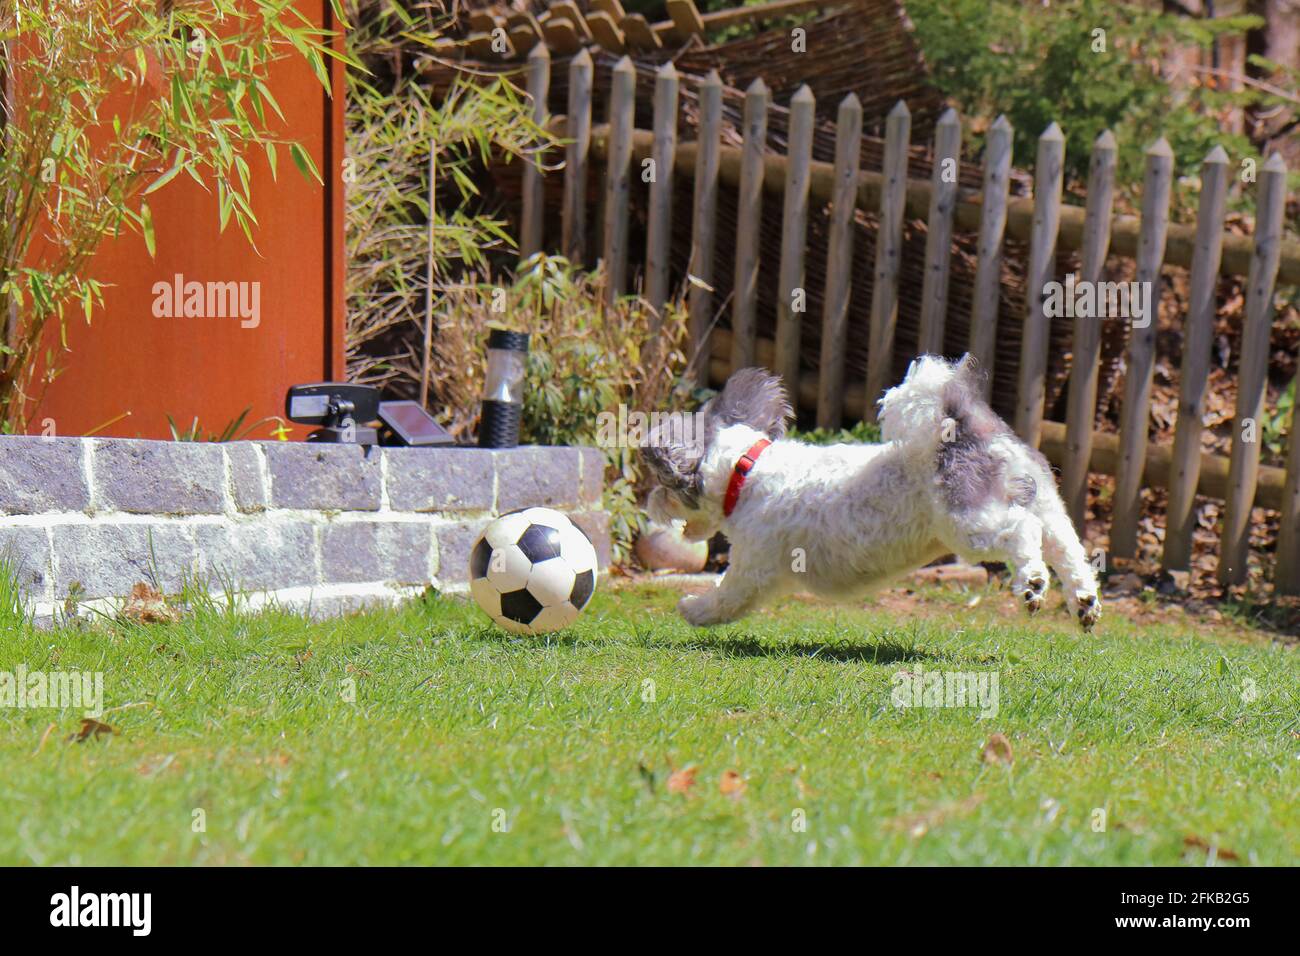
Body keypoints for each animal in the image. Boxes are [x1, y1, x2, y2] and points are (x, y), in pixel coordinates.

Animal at [639, 356, 1097, 632]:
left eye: (663, 484)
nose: (648, 505)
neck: (745, 470)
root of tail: (966, 428)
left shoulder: (754, 566)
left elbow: (727, 596)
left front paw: (692, 608)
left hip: (971, 524)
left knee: (1023, 532)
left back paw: (1033, 584)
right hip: (1047, 506)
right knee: (1068, 551)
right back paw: (1084, 602)